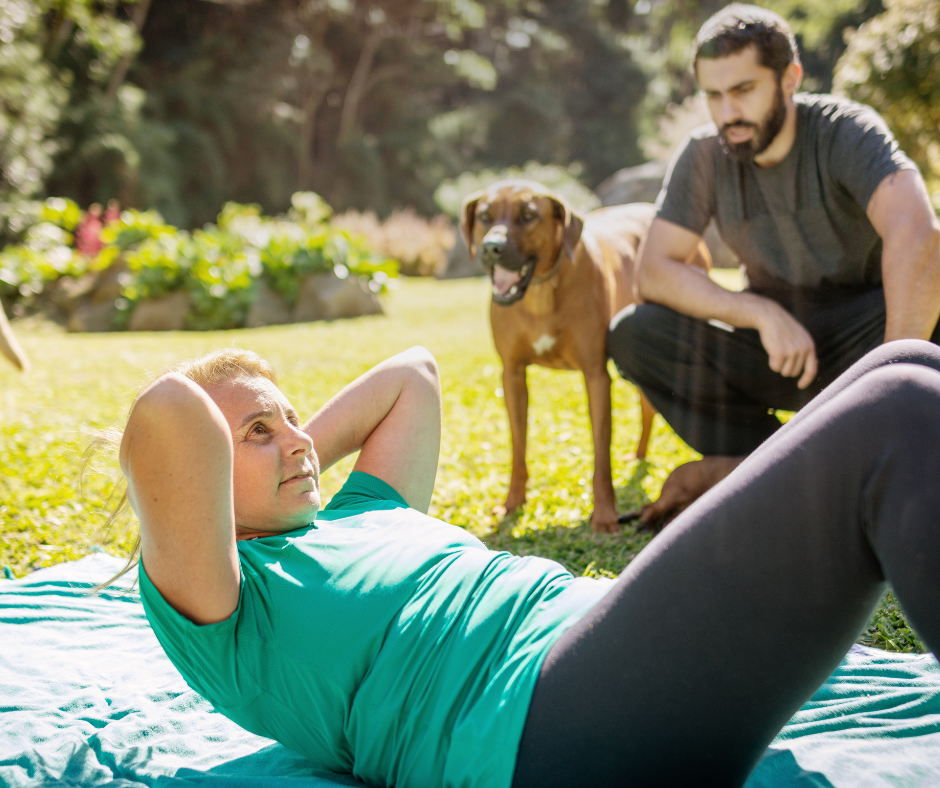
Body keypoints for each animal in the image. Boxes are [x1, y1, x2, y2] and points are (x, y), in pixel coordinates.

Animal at [462, 180, 712, 528]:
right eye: (484, 216)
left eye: (528, 215)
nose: (490, 248)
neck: (540, 291)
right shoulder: (511, 375)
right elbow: (517, 448)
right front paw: (512, 504)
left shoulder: (596, 376)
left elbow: (601, 456)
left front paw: (605, 515)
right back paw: (639, 454)